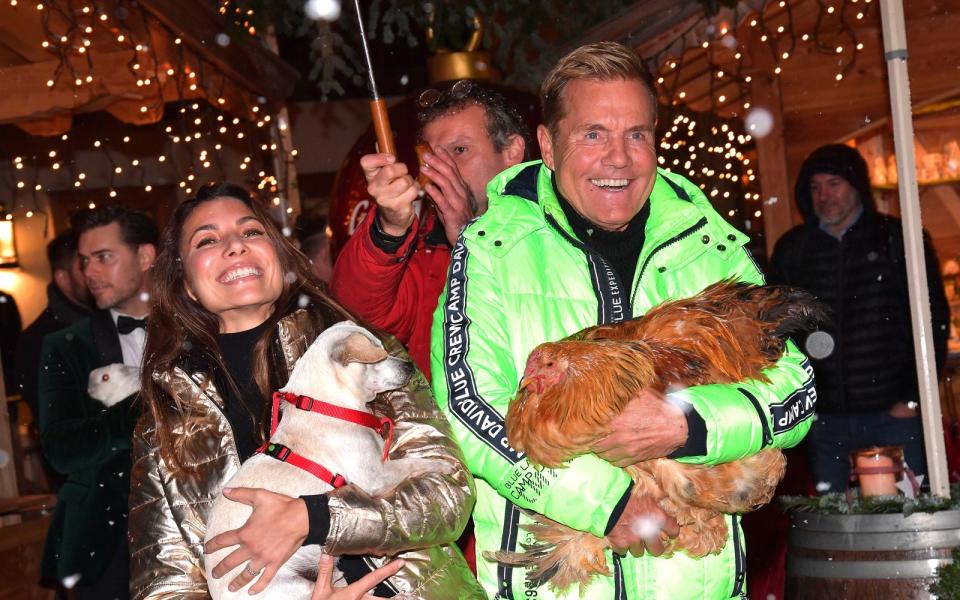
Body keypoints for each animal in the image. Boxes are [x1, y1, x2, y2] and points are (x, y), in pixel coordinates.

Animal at [204, 322, 444, 600]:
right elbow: (413, 463)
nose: (409, 365)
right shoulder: (375, 476)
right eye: (378, 356)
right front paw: (443, 467)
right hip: (295, 588)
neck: (331, 407)